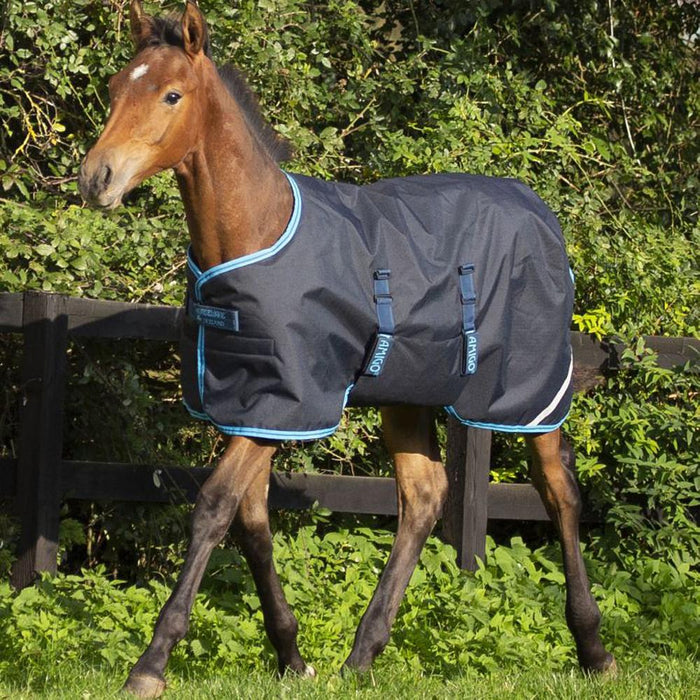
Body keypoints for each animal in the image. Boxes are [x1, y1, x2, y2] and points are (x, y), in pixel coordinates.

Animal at [78, 2, 615, 696]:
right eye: (116, 87)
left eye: (171, 94)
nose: (97, 178)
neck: (257, 232)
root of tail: (542, 215)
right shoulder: (254, 404)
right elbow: (252, 521)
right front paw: (292, 656)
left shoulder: (287, 402)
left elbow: (214, 508)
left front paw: (150, 665)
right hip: (407, 395)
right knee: (424, 496)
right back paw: (363, 654)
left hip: (530, 393)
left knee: (559, 493)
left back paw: (594, 649)